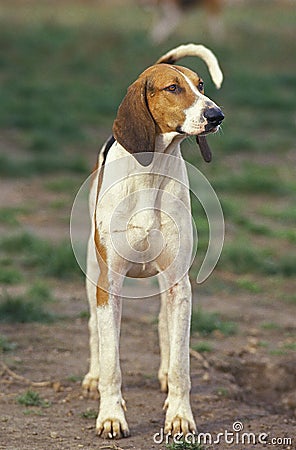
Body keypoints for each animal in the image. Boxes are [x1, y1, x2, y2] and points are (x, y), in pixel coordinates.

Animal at [82, 44, 223, 438]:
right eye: (172, 88)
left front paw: (180, 415)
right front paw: (111, 416)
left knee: (164, 325)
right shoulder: (108, 285)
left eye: (201, 85)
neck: (151, 172)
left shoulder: (180, 285)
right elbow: (113, 363)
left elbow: (181, 365)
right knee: (94, 330)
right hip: (92, 272)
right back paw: (92, 376)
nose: (216, 114)